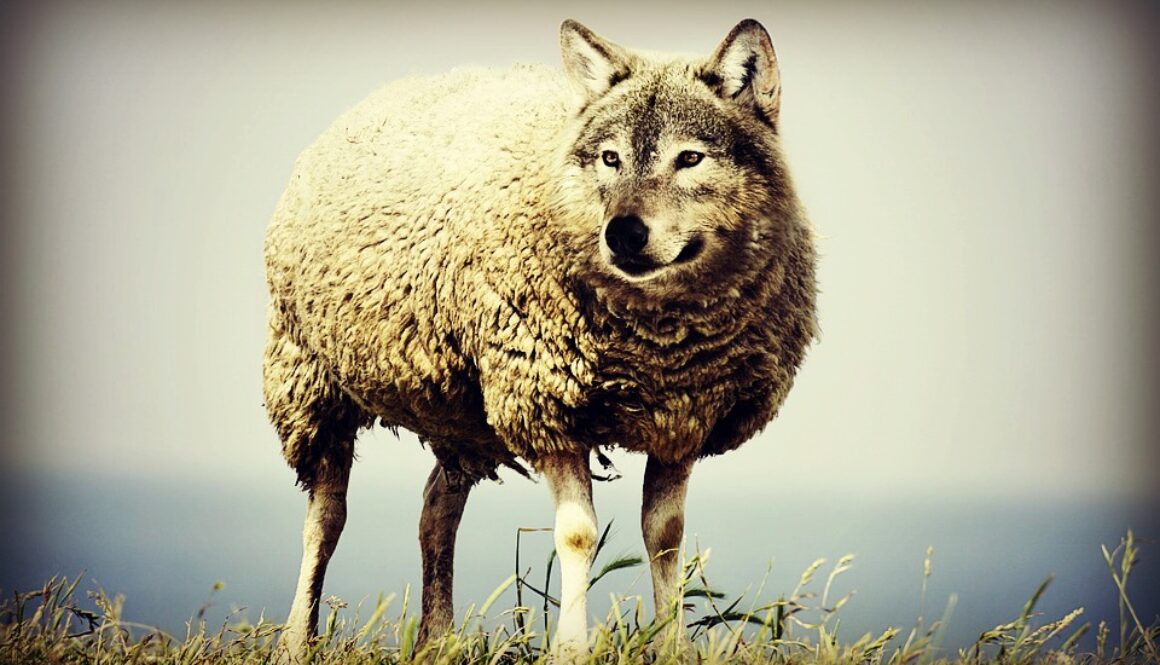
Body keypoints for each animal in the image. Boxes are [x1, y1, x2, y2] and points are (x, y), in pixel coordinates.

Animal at [264, 17, 817, 659]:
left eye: (691, 158)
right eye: (609, 157)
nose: (623, 234)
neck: (657, 343)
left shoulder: (682, 419)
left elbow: (666, 536)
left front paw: (672, 646)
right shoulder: (546, 405)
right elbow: (577, 536)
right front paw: (572, 650)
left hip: (462, 415)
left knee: (436, 510)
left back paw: (438, 639)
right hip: (309, 380)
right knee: (326, 518)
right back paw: (296, 640)